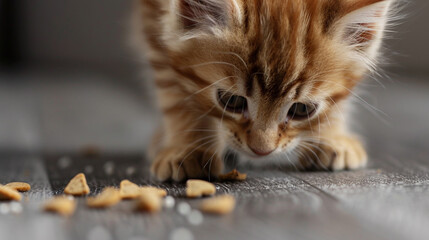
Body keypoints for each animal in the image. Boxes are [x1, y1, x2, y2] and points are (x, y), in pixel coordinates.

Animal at [134, 0, 394, 180]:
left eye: (302, 109)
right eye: (232, 101)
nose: (261, 150)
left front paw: (331, 137)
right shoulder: (152, 17)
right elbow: (173, 88)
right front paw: (188, 148)